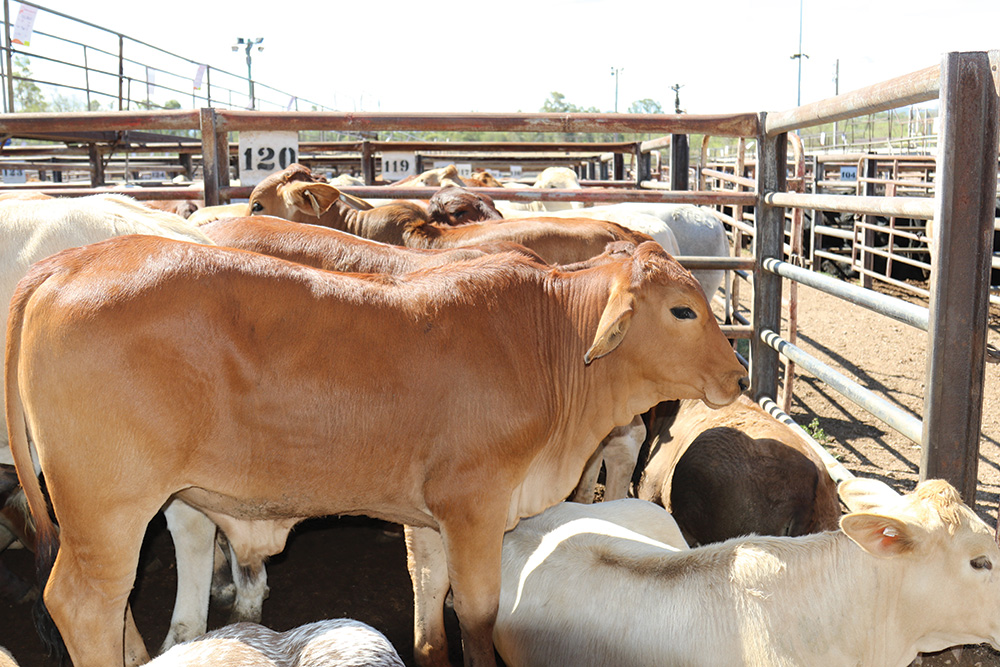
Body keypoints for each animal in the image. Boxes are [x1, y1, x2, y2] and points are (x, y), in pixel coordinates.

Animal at [6, 235, 747, 667]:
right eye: (683, 310)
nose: (740, 375)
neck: (549, 342)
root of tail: (68, 263)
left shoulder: (433, 515)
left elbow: (432, 605)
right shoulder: (475, 505)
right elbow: (477, 614)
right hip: (107, 509)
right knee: (83, 602)